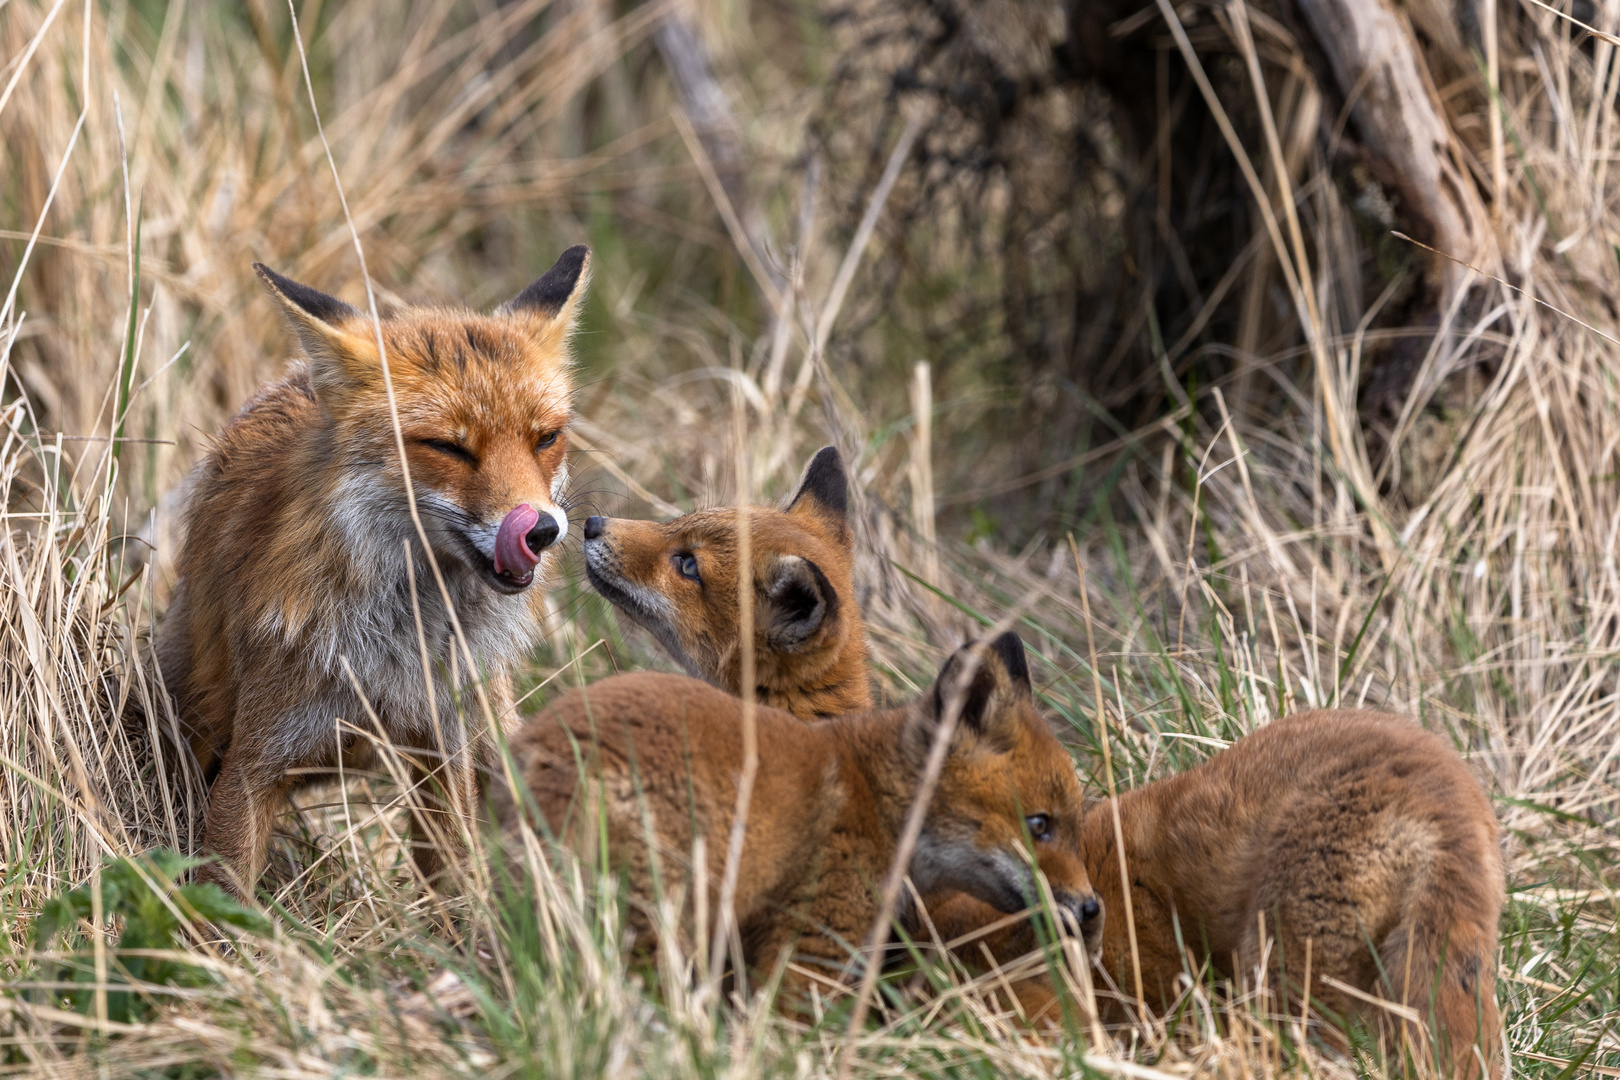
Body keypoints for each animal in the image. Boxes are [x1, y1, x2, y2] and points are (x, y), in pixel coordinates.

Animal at [154, 249, 589, 900]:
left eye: (546, 438)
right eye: (448, 447)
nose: (540, 530)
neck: (398, 647)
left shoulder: (445, 753)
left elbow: (456, 890)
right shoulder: (255, 762)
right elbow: (223, 898)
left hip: (491, 739)